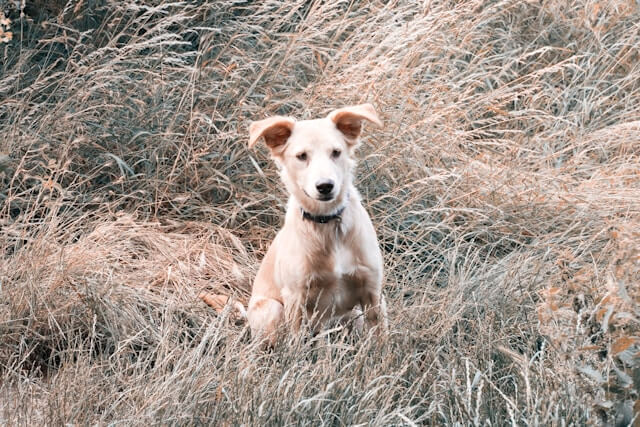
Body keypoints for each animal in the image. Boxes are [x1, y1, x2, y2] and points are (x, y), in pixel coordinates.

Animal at [244, 104, 388, 348]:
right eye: (302, 156)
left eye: (336, 152)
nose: (325, 186)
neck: (328, 223)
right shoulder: (295, 296)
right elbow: (294, 344)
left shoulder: (372, 291)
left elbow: (380, 340)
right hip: (272, 309)